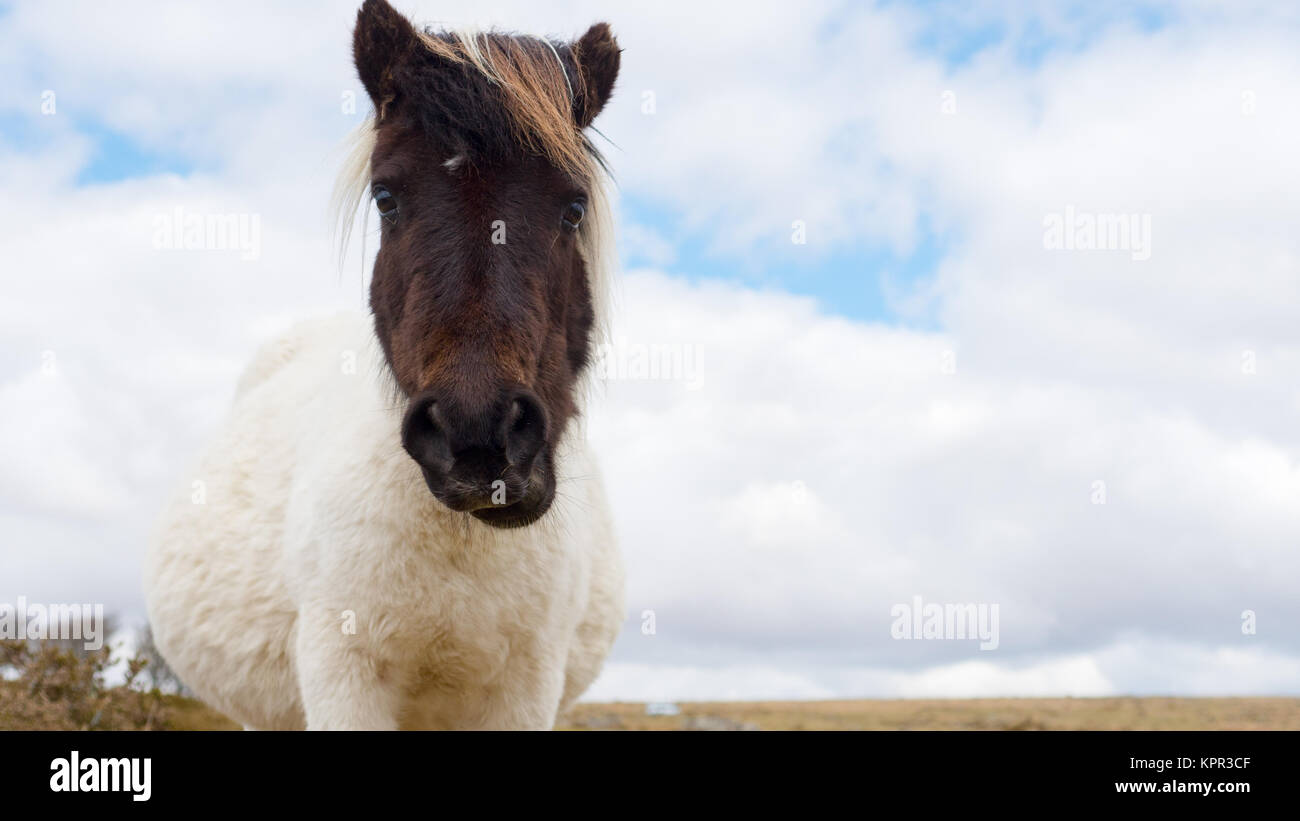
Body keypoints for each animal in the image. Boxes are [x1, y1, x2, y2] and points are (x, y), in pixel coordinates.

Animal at [142, 0, 624, 732]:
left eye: (573, 207)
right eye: (387, 197)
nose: (478, 436)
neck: (459, 545)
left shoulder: (526, 686)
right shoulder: (342, 672)